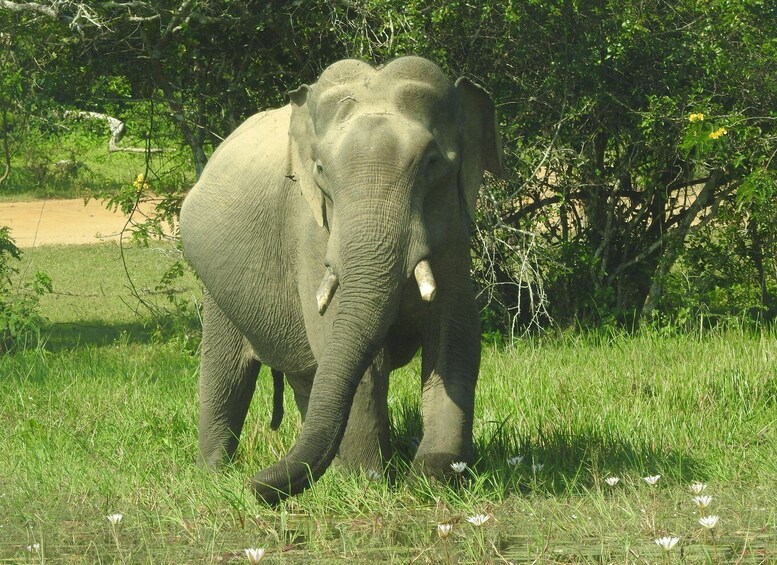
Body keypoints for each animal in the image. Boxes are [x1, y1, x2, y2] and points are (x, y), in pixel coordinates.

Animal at [179, 56, 504, 504]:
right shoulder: (313, 234)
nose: (256, 487)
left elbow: (456, 343)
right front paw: (369, 483)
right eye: (320, 170)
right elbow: (353, 353)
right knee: (226, 373)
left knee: (308, 377)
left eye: (433, 163)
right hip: (214, 283)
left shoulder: (454, 234)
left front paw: (431, 479)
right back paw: (213, 475)